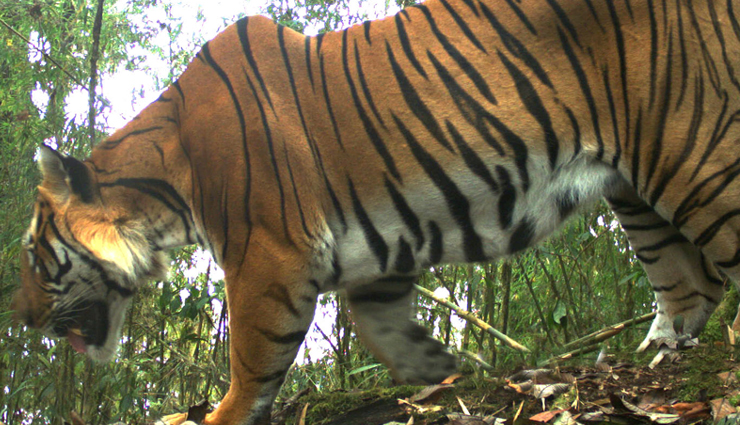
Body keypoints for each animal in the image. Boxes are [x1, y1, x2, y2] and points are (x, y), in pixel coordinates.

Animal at [10, 0, 740, 423]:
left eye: (33, 256)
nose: (21, 319)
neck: (165, 185)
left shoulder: (267, 255)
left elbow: (252, 356)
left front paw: (221, 415)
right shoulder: (377, 252)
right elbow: (385, 328)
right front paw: (445, 375)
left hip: (695, 147)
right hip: (636, 186)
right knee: (689, 285)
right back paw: (658, 360)